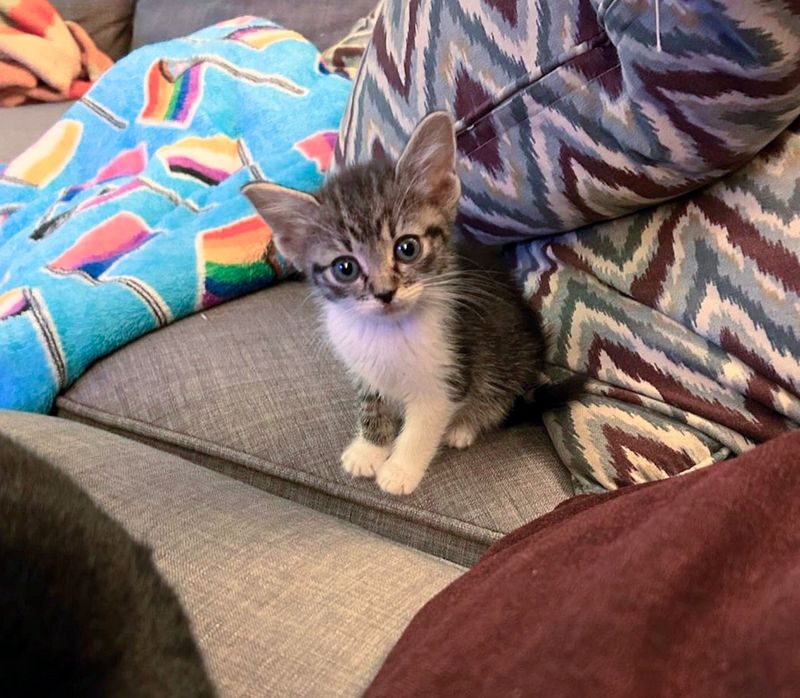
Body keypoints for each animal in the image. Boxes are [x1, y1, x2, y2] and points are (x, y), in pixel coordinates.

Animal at [244, 113, 576, 494]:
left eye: (407, 248)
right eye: (345, 268)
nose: (385, 293)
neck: (389, 331)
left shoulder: (449, 371)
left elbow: (422, 427)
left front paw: (400, 470)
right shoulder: (363, 368)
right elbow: (371, 405)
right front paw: (370, 449)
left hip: (512, 355)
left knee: (500, 393)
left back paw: (464, 427)